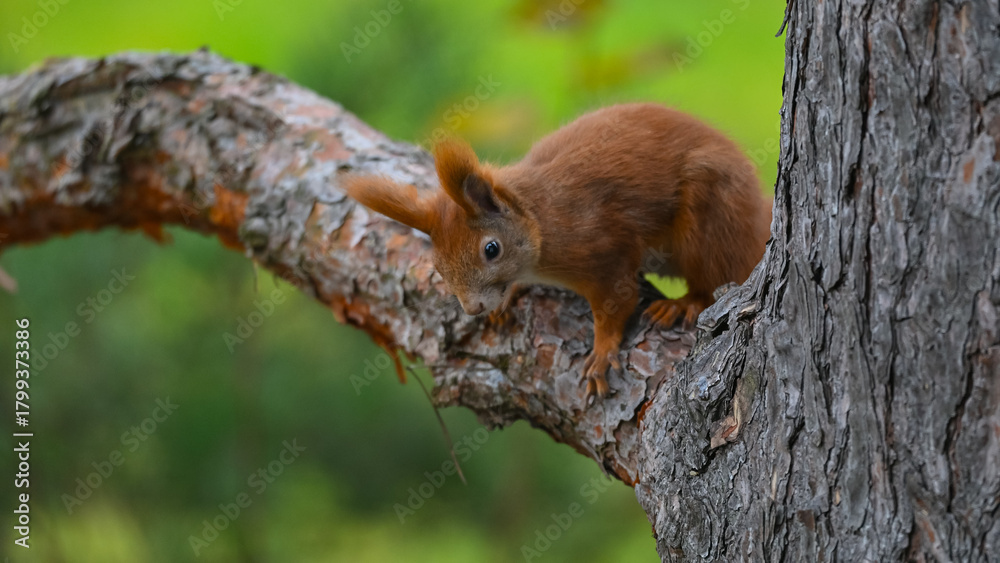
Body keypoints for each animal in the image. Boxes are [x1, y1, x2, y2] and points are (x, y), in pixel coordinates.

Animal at [343, 102, 772, 398]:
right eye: (437, 267)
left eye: (492, 249)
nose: (473, 308)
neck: (540, 221)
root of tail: (757, 217)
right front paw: (507, 299)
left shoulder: (604, 252)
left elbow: (617, 302)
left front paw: (601, 353)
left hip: (711, 218)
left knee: (715, 276)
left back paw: (683, 303)